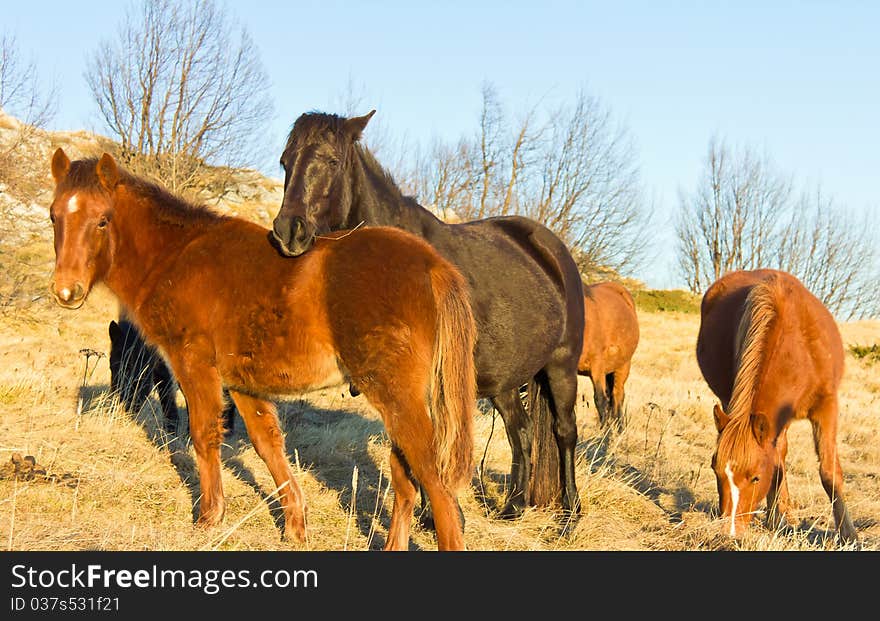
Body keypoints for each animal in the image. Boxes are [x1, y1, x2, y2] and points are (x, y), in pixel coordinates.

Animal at [48, 148, 478, 548]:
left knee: (434, 481)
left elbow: (203, 434)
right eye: (54, 216)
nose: (66, 291)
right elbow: (267, 445)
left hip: (397, 398)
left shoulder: (194, 364)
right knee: (406, 480)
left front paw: (209, 519)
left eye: (103, 220)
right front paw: (295, 528)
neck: (177, 255)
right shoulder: (242, 382)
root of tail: (432, 266)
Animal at [576, 280, 640, 432]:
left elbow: (600, 399)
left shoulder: (597, 364)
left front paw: (604, 432)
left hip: (623, 366)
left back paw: (619, 428)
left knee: (617, 395)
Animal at [696, 266, 856, 544]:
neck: (796, 349)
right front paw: (777, 517)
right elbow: (778, 464)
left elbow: (829, 472)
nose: (730, 532)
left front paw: (848, 534)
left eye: (755, 478)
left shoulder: (826, 408)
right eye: (715, 472)